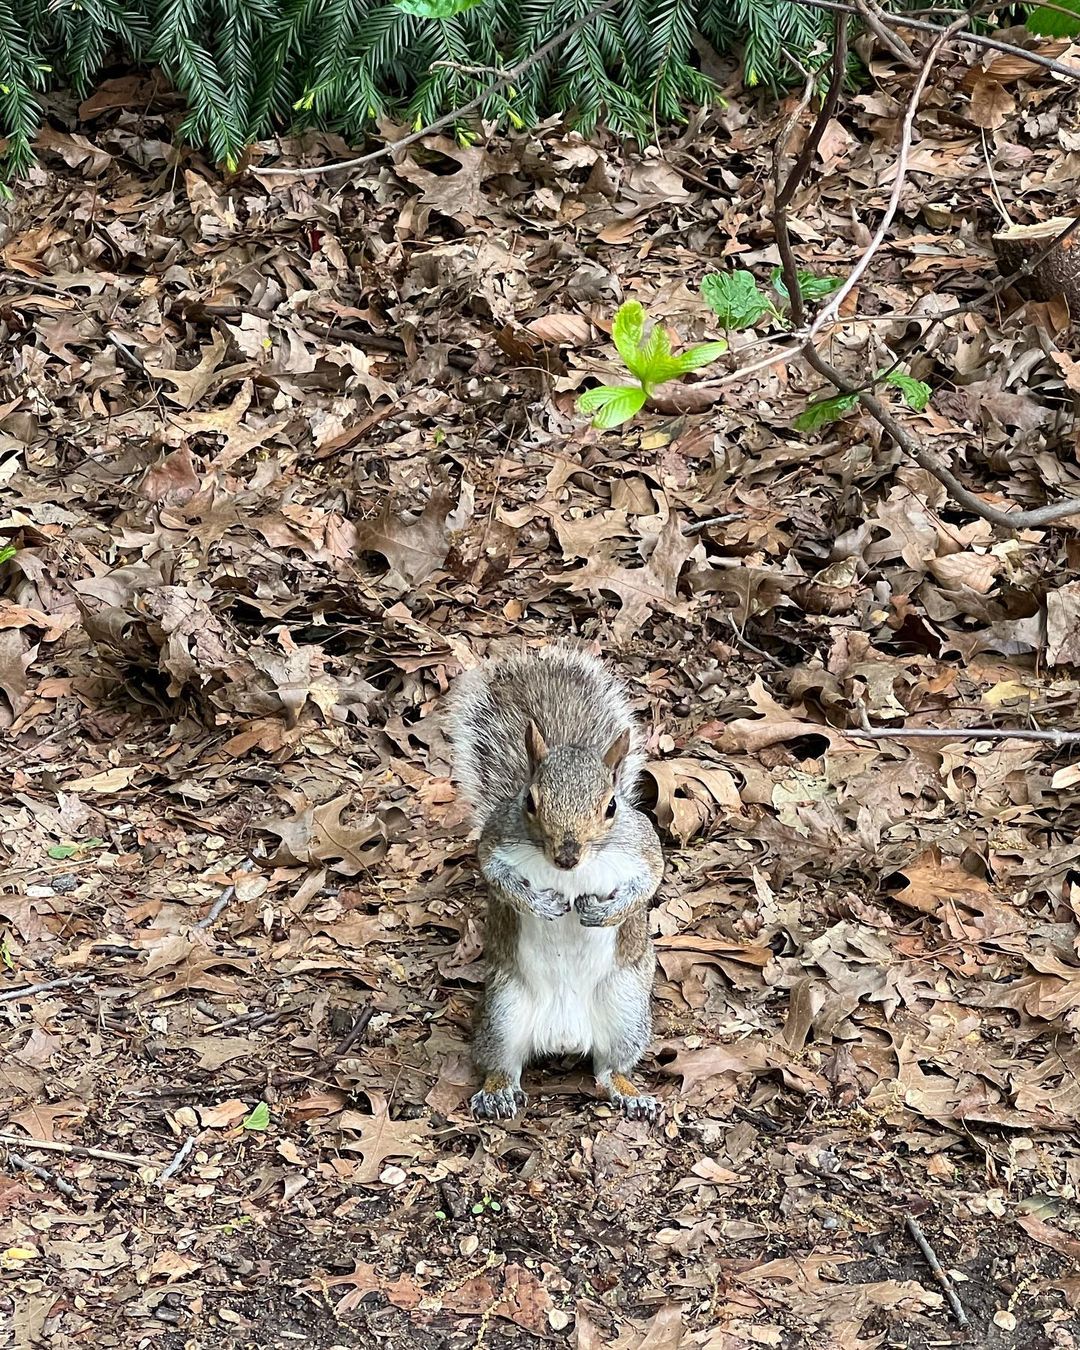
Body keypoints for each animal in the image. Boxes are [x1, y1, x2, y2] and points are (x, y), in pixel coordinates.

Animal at [445, 639, 661, 1117]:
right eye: (529, 800)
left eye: (611, 806)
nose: (566, 856)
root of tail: (564, 1036)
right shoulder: (496, 841)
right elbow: (496, 876)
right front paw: (540, 904)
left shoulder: (643, 846)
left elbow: (649, 883)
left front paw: (606, 912)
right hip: (503, 1011)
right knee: (501, 1062)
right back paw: (496, 1092)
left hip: (626, 1010)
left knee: (609, 1069)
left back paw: (630, 1093)